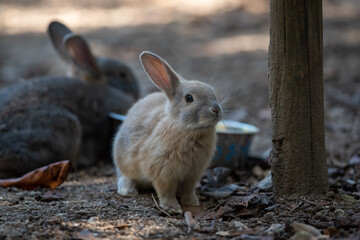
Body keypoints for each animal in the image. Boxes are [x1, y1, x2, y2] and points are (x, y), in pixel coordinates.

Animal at [113, 51, 222, 213]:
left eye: (212, 91)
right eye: (189, 98)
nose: (216, 110)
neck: (186, 128)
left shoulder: (193, 173)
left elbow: (188, 189)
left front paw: (192, 202)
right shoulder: (162, 172)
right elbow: (166, 190)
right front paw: (172, 208)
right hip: (124, 163)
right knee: (125, 176)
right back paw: (128, 190)